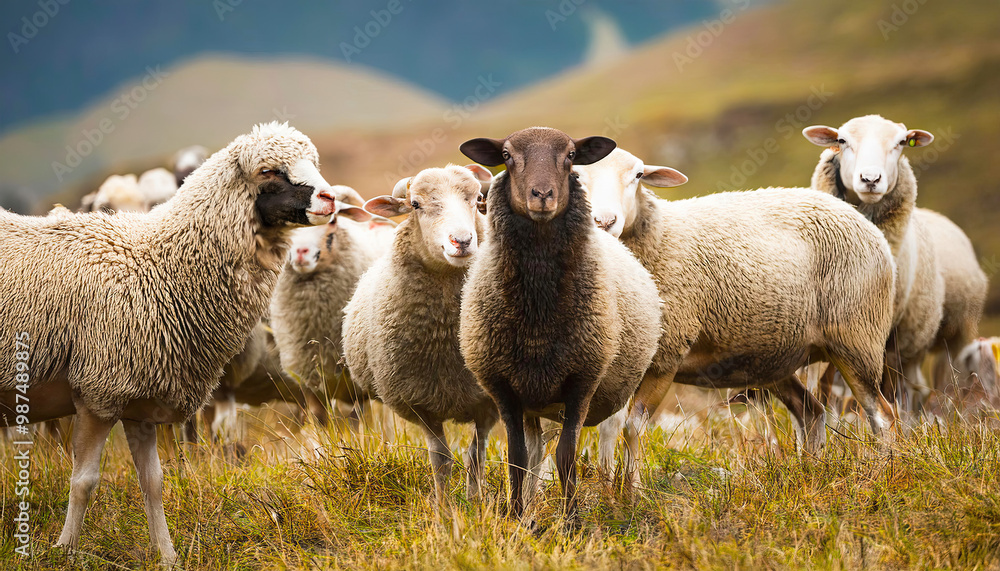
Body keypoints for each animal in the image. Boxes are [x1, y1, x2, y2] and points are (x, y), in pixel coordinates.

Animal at [0, 121, 343, 566]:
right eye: (268, 170)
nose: (330, 198)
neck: (159, 264)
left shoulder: (139, 401)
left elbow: (153, 482)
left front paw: (167, 556)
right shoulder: (98, 391)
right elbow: (84, 481)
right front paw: (66, 551)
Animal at [342, 163, 499, 504]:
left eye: (477, 199)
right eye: (415, 204)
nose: (462, 241)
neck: (446, 337)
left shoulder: (488, 401)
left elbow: (476, 456)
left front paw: (476, 503)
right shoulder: (419, 403)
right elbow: (441, 460)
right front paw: (444, 507)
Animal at [458, 127, 662, 519]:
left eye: (570, 156)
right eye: (506, 155)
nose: (542, 195)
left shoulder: (582, 381)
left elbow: (566, 456)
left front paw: (571, 520)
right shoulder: (504, 387)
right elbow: (517, 458)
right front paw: (517, 517)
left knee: (612, 433)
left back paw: (616, 497)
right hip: (532, 396)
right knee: (535, 448)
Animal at [573, 147, 898, 478]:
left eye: (638, 175)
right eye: (576, 175)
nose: (604, 221)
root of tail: (862, 221)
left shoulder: (667, 357)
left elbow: (633, 427)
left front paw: (633, 486)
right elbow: (609, 428)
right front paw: (608, 484)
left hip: (858, 337)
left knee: (882, 415)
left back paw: (884, 472)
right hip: (779, 355)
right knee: (811, 412)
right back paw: (810, 472)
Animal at [803, 115, 950, 412]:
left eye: (901, 142)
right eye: (842, 140)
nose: (870, 179)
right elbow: (825, 383)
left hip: (907, 341)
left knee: (906, 386)